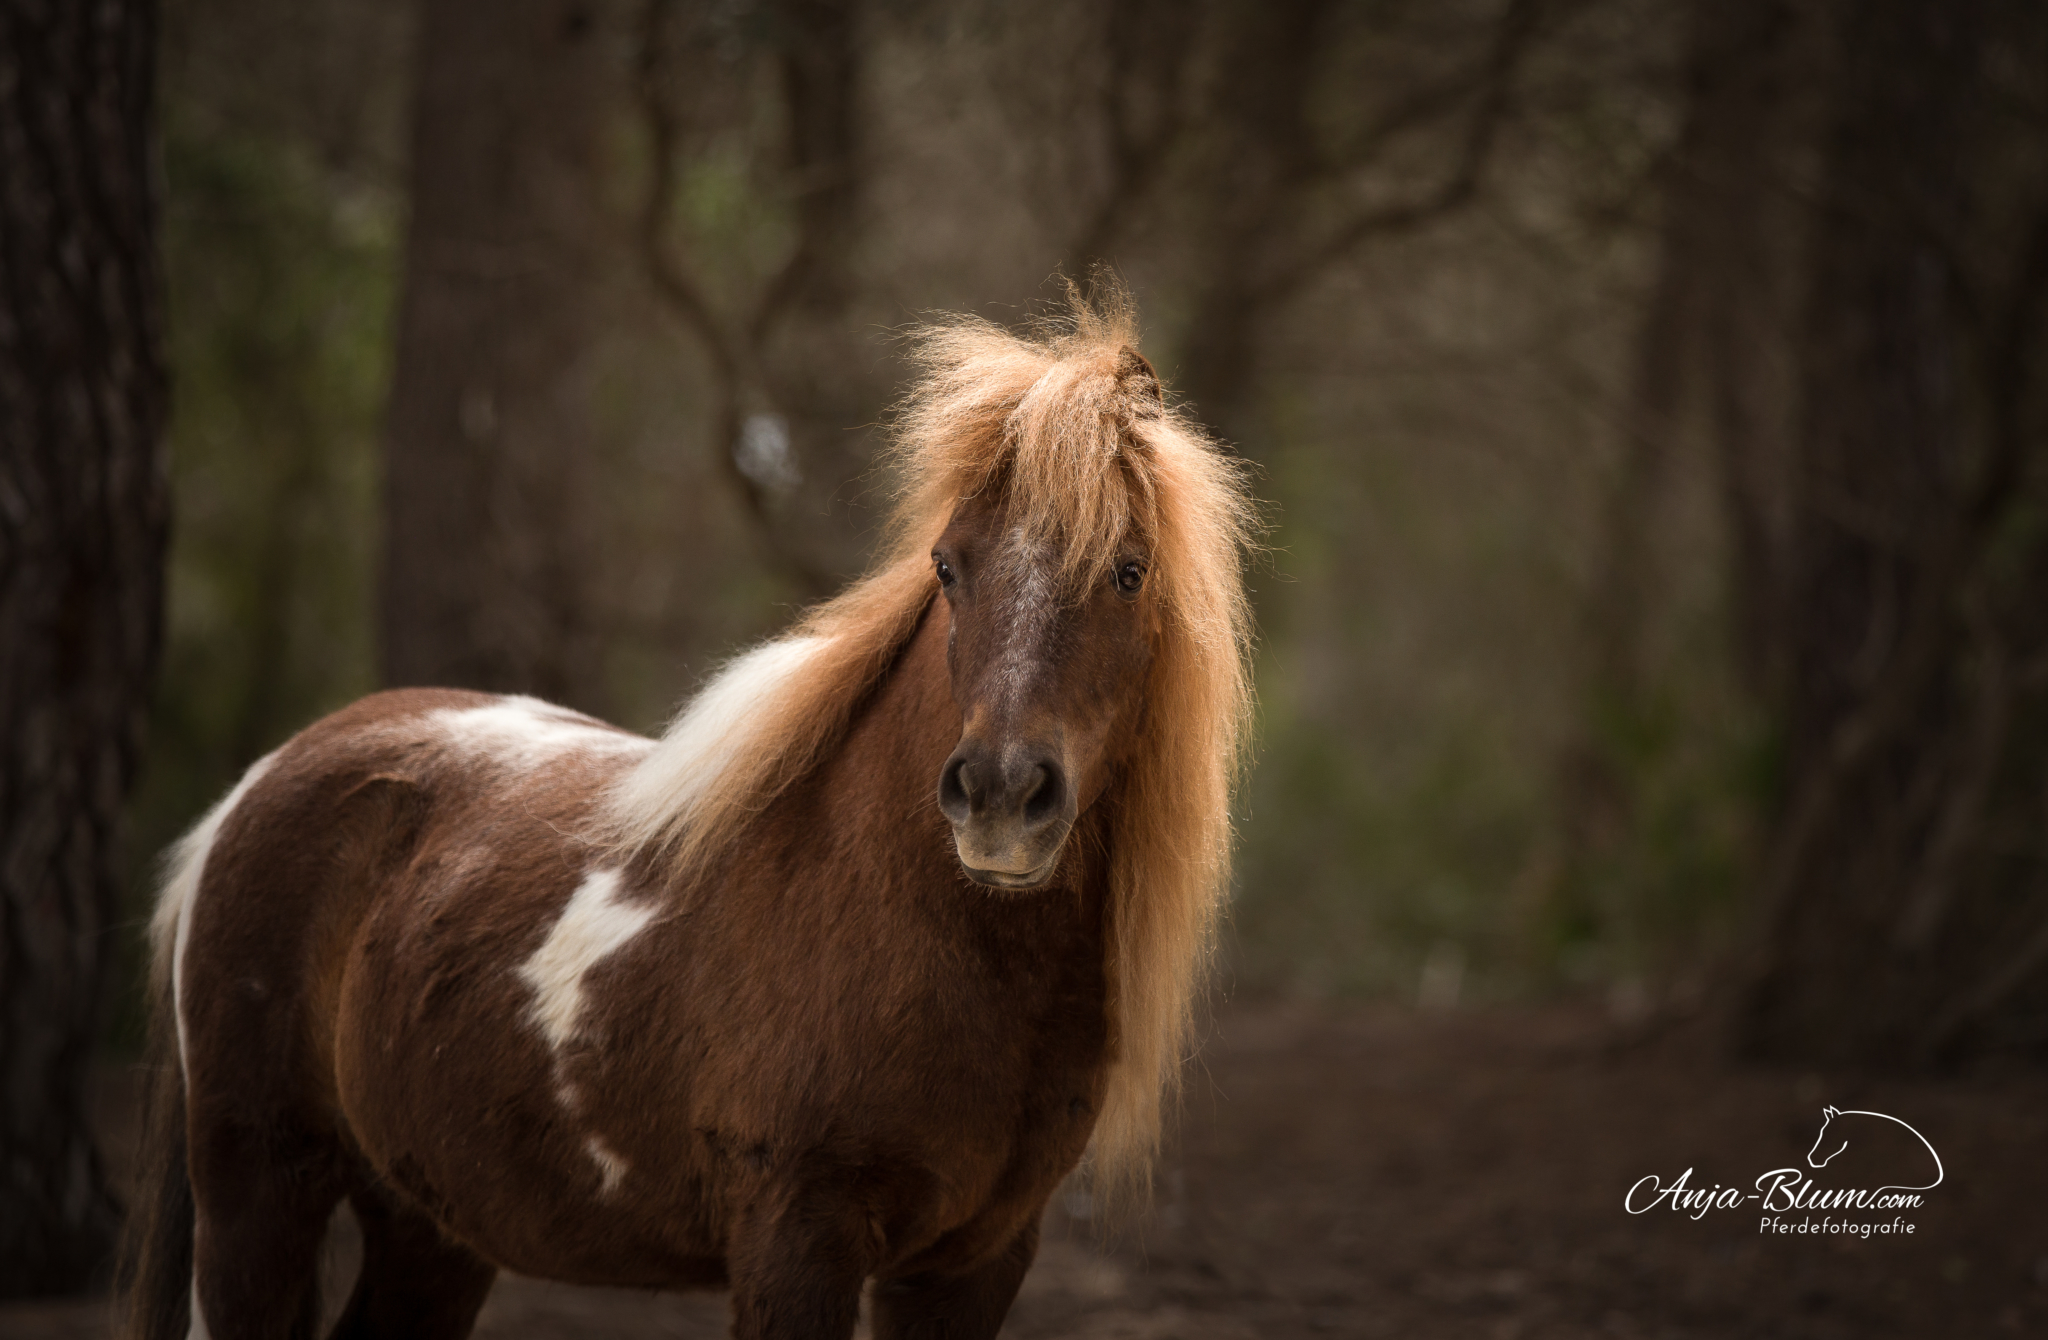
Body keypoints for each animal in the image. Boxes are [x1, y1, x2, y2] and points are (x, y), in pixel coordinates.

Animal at [119, 295, 1253, 1340]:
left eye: (1129, 571)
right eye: (947, 564)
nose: (999, 798)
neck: (902, 915)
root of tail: (257, 786)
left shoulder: (972, 1264)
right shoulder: (797, 1238)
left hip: (429, 1227)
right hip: (258, 1196)